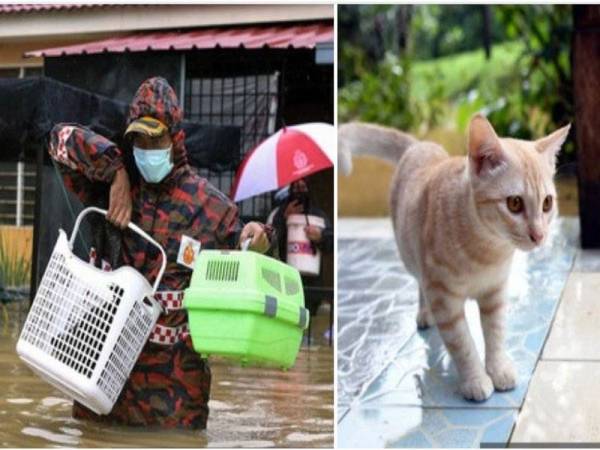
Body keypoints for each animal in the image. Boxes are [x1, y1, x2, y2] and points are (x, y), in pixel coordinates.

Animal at [340, 115, 568, 400]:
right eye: (514, 203)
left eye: (547, 203)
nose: (539, 235)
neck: (488, 250)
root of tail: (420, 144)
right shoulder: (444, 298)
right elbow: (463, 343)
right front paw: (475, 379)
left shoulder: (495, 293)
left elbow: (495, 334)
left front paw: (498, 368)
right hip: (412, 258)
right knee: (420, 284)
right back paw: (424, 313)